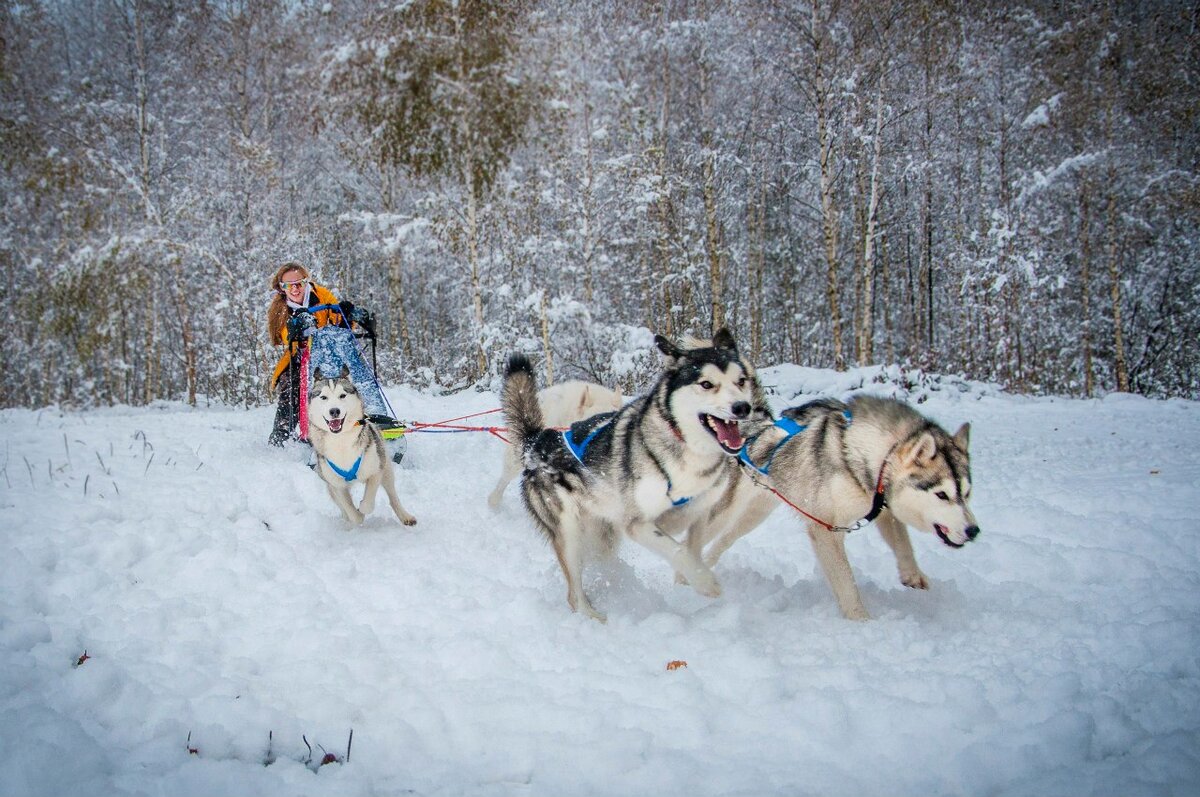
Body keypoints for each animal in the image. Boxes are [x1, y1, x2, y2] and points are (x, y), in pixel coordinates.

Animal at [307, 367, 420, 528]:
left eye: (342, 395)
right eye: (323, 397)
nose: (334, 411)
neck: (341, 442)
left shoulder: (375, 471)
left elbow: (368, 501)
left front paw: (363, 507)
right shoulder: (336, 485)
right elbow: (351, 511)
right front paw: (356, 515)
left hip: (386, 469)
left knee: (393, 496)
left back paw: (405, 516)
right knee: (341, 506)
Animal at [501, 328, 753, 624]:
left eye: (741, 381)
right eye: (706, 384)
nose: (742, 407)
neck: (687, 451)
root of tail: (538, 440)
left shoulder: (700, 510)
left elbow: (692, 546)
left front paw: (690, 577)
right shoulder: (637, 523)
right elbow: (677, 549)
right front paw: (705, 582)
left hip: (602, 533)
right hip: (570, 531)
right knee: (574, 594)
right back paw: (594, 618)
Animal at [686, 396, 974, 619]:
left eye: (967, 493)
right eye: (942, 494)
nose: (974, 531)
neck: (867, 452)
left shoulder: (881, 507)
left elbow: (903, 543)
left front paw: (912, 574)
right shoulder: (825, 529)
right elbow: (846, 581)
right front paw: (861, 621)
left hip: (754, 515)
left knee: (722, 541)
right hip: (726, 510)